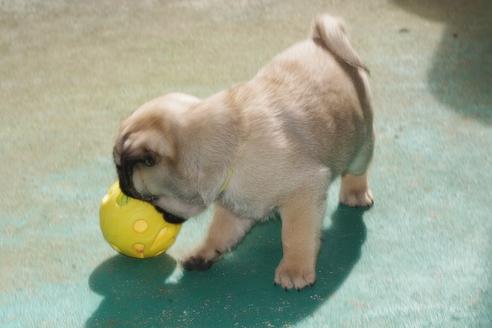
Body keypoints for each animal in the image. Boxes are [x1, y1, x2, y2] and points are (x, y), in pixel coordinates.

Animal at [112, 14, 372, 290]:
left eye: (124, 169)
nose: (122, 186)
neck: (231, 150)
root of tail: (319, 40)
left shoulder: (305, 192)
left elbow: (296, 234)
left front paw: (295, 268)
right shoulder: (235, 206)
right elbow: (219, 233)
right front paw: (204, 253)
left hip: (362, 143)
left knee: (357, 170)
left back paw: (355, 192)